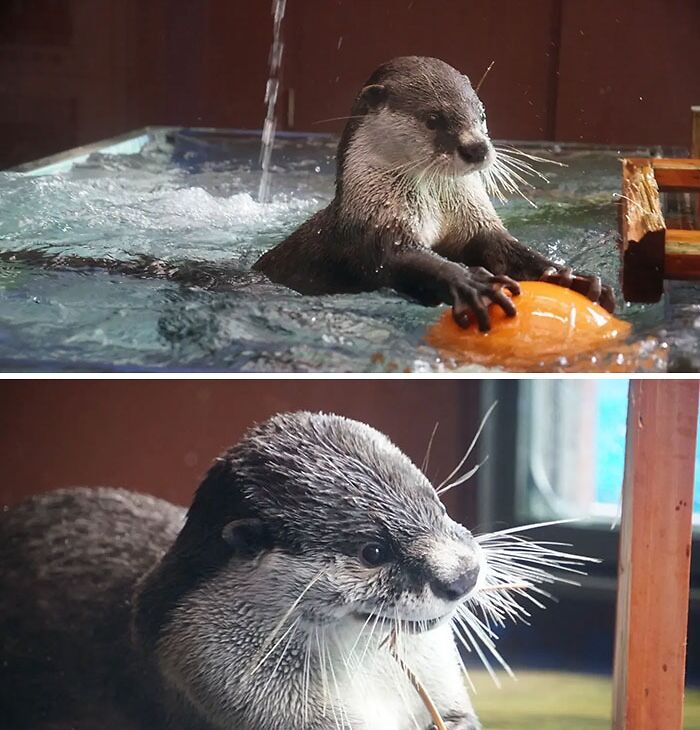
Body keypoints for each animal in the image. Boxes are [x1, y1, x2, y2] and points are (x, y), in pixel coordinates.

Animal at [253, 56, 614, 331]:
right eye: (432, 119)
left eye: (481, 115)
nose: (477, 148)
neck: (436, 208)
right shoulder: (375, 226)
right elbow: (401, 258)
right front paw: (474, 283)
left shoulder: (477, 223)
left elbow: (508, 249)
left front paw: (569, 277)